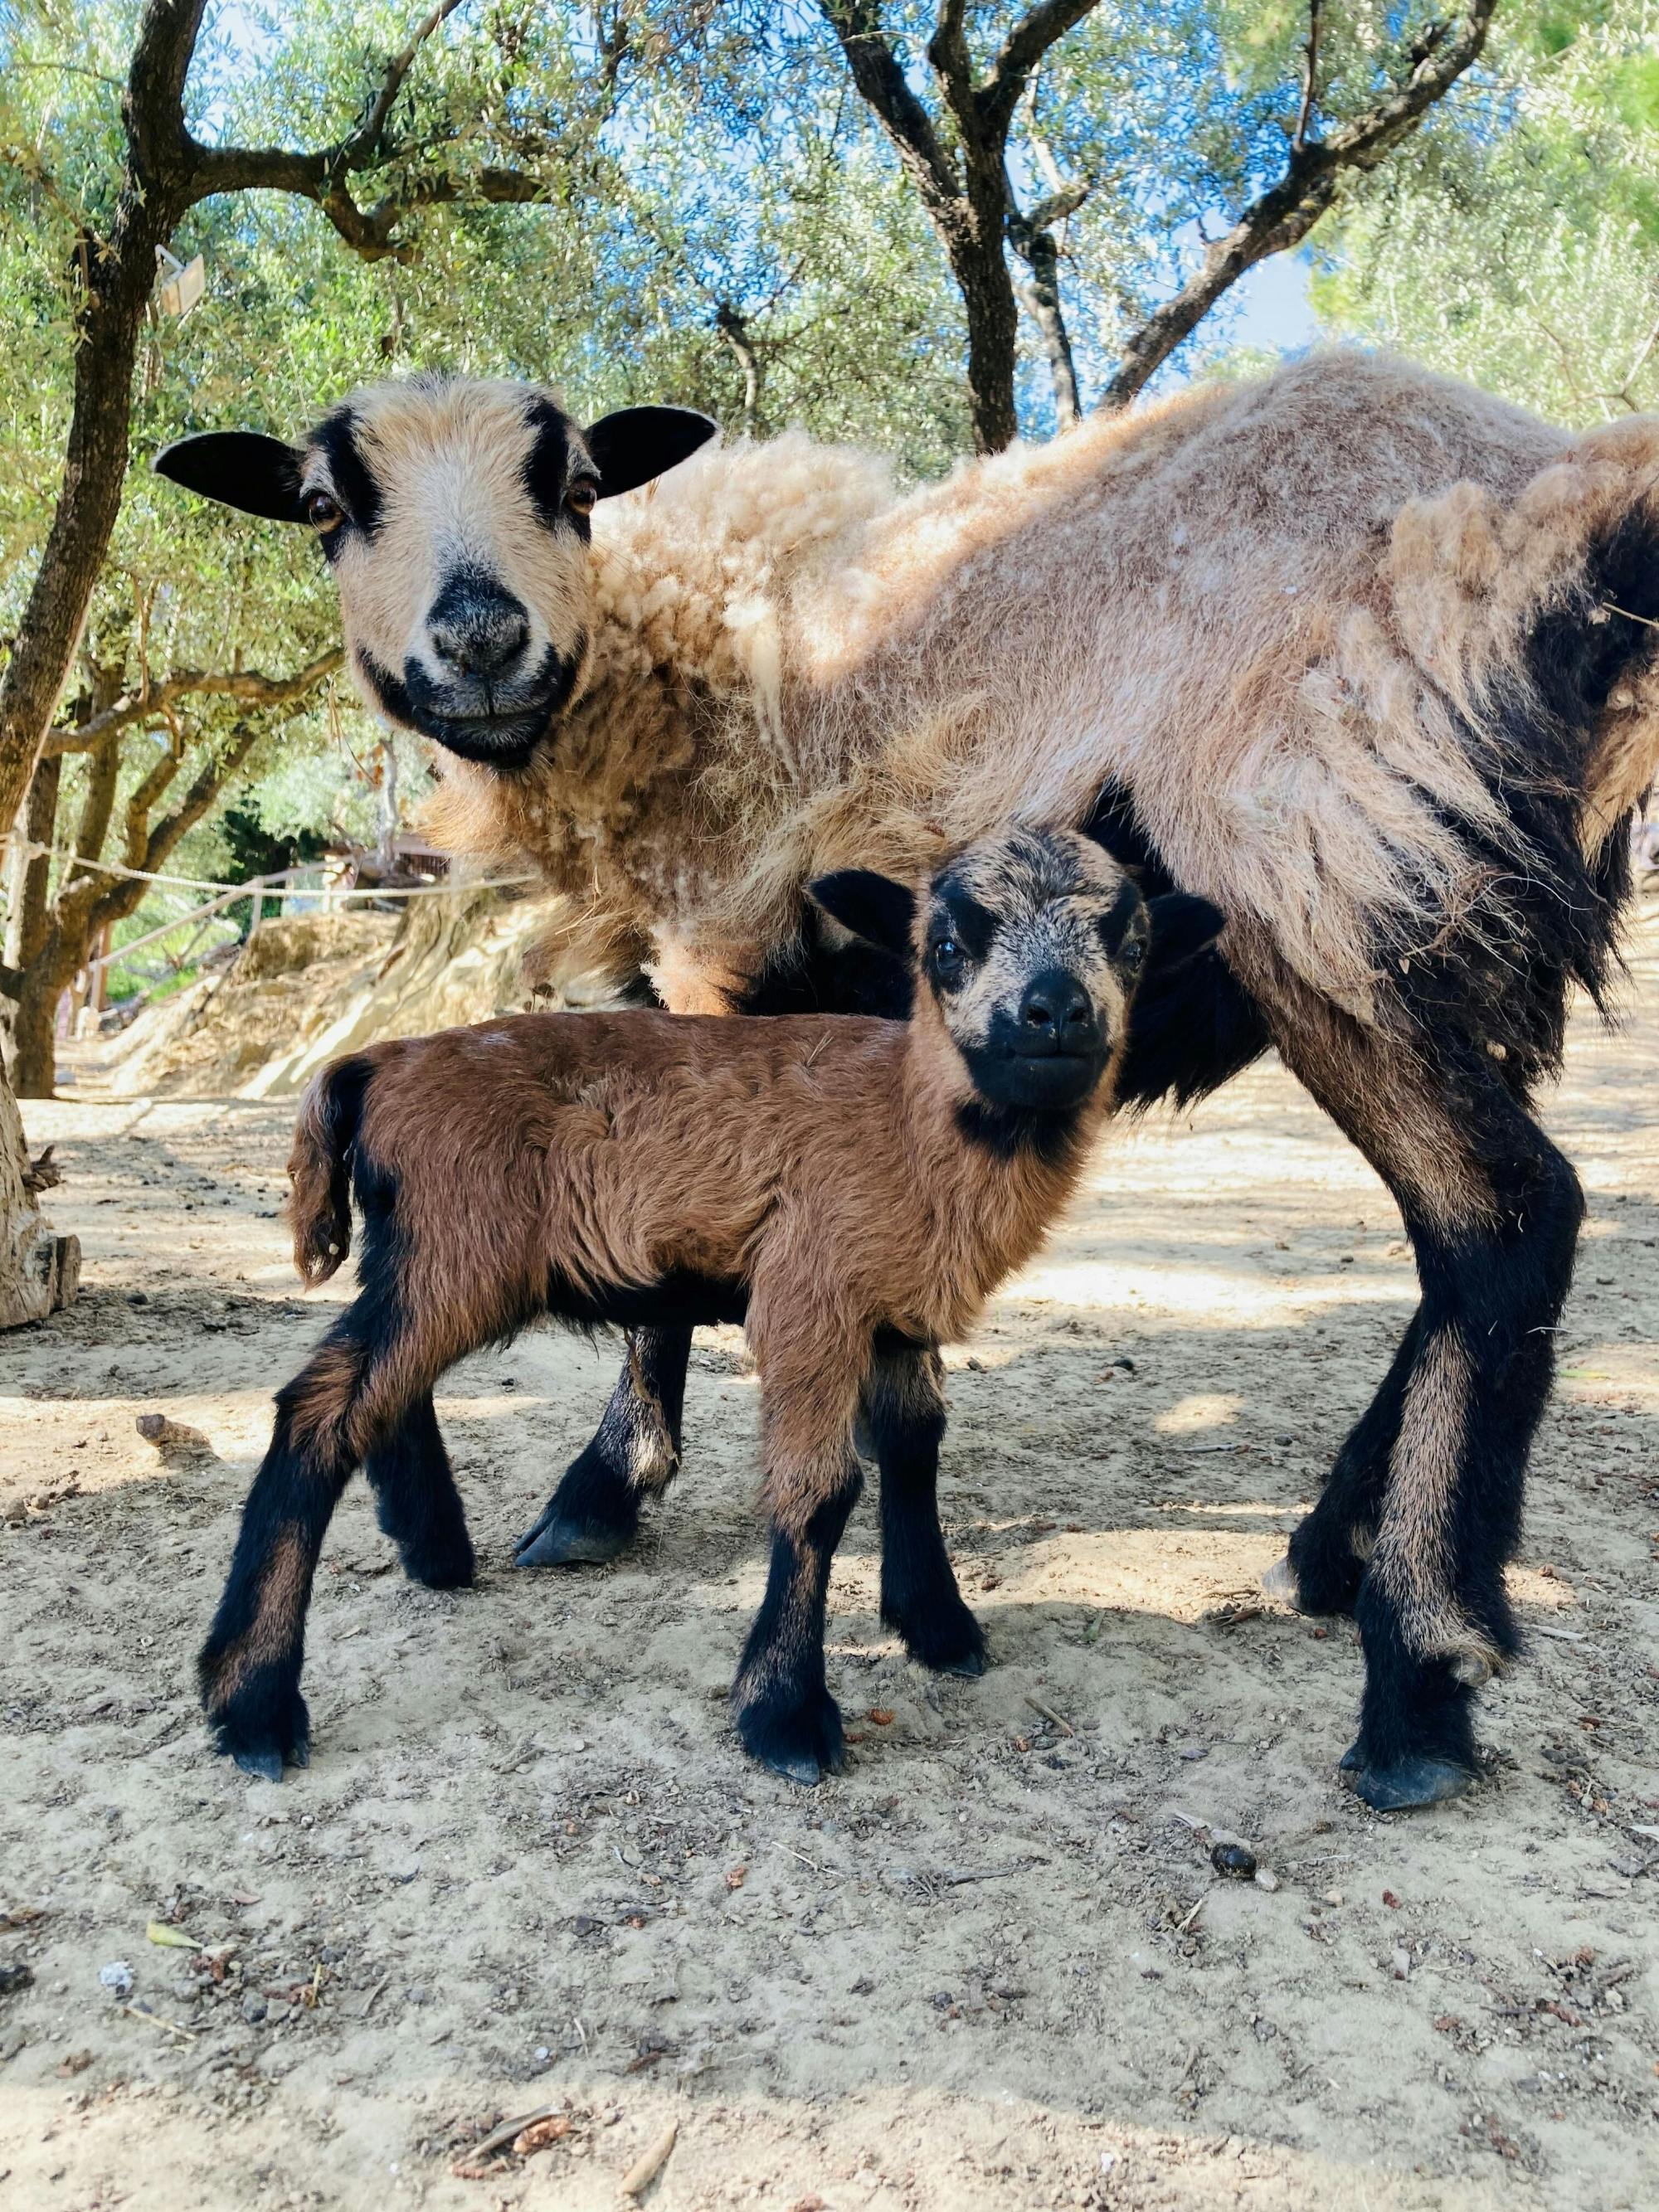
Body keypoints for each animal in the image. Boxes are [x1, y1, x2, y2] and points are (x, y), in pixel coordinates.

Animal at [163, 358, 1659, 1813]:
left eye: (576, 479)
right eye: (324, 504)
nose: (480, 644)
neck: (693, 643)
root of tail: (1559, 496)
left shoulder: (715, 954)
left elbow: (673, 1268)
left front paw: (607, 1486)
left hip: (1324, 881)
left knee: (1503, 1220)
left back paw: (1418, 1679)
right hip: (1444, 916)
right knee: (1469, 1246)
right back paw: (1327, 1553)